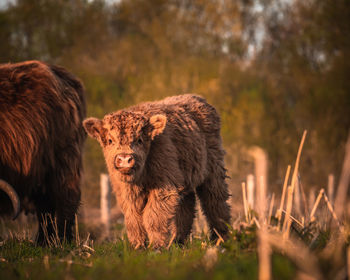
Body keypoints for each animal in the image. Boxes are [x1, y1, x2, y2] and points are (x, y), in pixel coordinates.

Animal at [84, 95, 231, 248]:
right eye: (110, 140)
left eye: (139, 140)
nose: (125, 158)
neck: (140, 177)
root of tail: (197, 98)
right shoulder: (126, 192)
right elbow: (133, 219)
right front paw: (137, 246)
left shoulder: (165, 187)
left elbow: (153, 216)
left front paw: (156, 246)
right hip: (186, 177)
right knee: (186, 207)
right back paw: (178, 242)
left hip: (214, 170)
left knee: (215, 201)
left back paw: (221, 239)